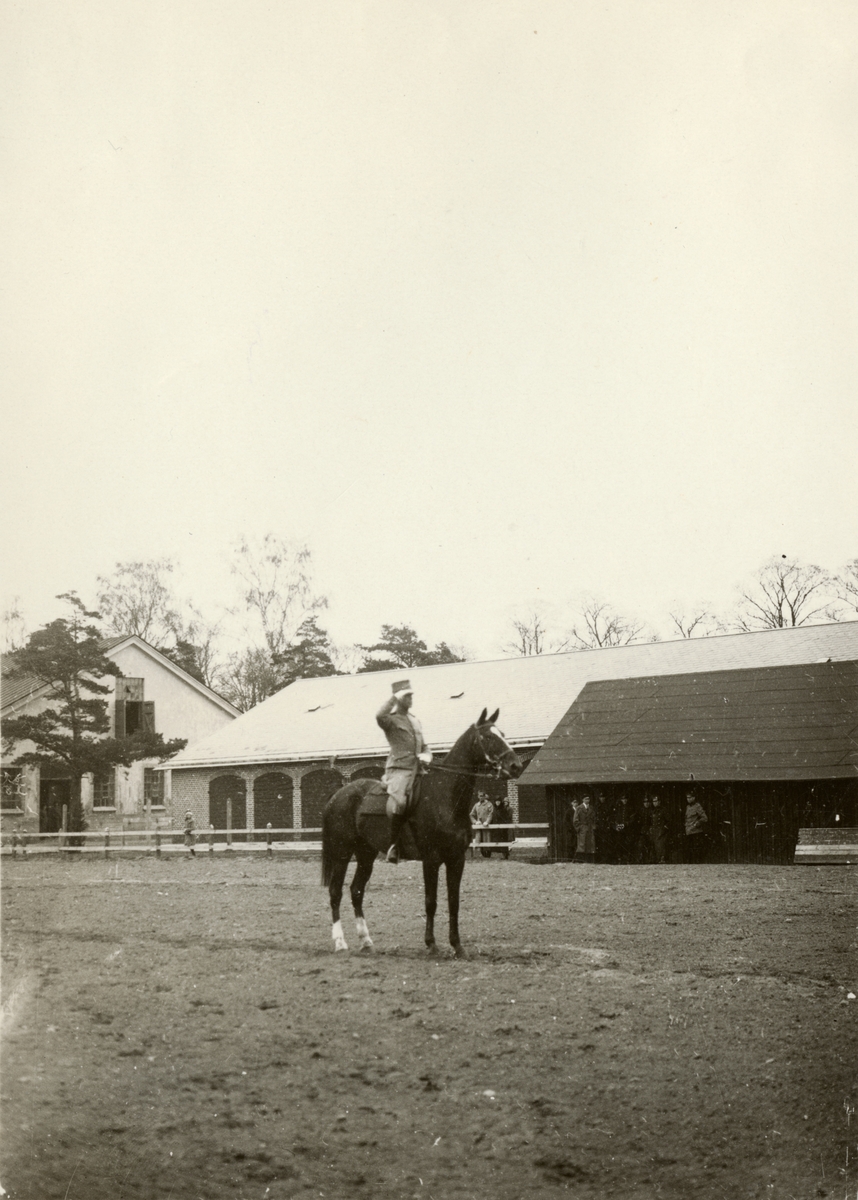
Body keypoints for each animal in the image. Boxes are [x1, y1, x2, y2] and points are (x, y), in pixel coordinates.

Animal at [321, 710, 523, 955]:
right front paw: (431, 943)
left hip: (365, 854)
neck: (445, 797)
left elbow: (454, 902)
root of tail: (337, 796)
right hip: (342, 853)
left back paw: (366, 940)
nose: (516, 766)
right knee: (335, 892)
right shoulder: (431, 859)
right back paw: (340, 942)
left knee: (356, 891)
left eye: (502, 734)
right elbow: (431, 901)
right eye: (487, 737)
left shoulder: (457, 859)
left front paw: (457, 946)